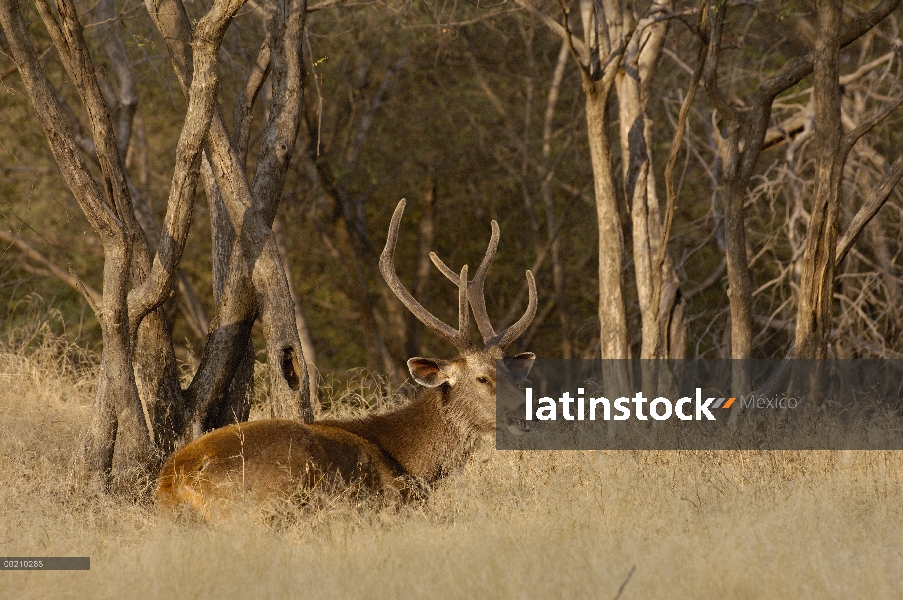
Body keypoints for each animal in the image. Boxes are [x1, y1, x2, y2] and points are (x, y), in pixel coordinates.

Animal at [154, 198, 536, 516]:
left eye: (512, 374)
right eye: (482, 377)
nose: (525, 410)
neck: (414, 463)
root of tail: (173, 482)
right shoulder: (395, 503)